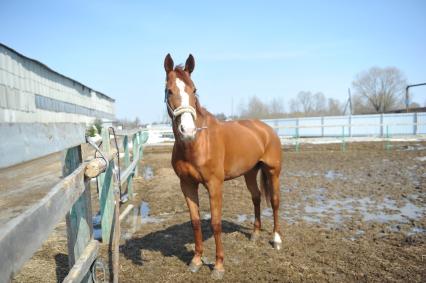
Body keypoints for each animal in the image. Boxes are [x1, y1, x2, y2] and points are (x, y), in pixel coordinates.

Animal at [164, 53, 282, 280]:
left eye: (194, 90)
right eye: (169, 90)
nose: (188, 130)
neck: (197, 143)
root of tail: (266, 129)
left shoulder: (214, 185)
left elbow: (215, 223)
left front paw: (218, 266)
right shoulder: (187, 185)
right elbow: (195, 222)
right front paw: (196, 261)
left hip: (273, 171)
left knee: (274, 201)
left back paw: (277, 239)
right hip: (250, 173)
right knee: (256, 198)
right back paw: (255, 234)